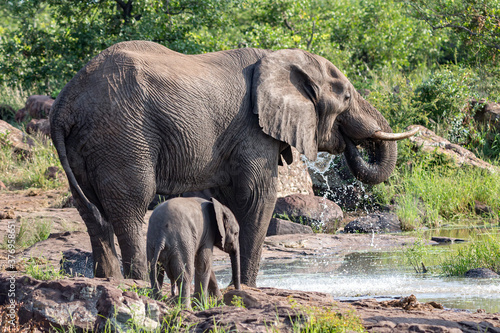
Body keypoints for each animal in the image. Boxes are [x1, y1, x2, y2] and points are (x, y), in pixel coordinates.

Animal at [49, 40, 418, 284]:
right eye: (346, 96)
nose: (352, 142)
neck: (279, 60)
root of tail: (65, 102)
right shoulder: (252, 130)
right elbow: (256, 197)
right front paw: (248, 288)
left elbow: (230, 200)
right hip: (121, 136)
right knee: (130, 208)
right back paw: (137, 283)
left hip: (89, 144)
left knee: (93, 214)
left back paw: (108, 282)